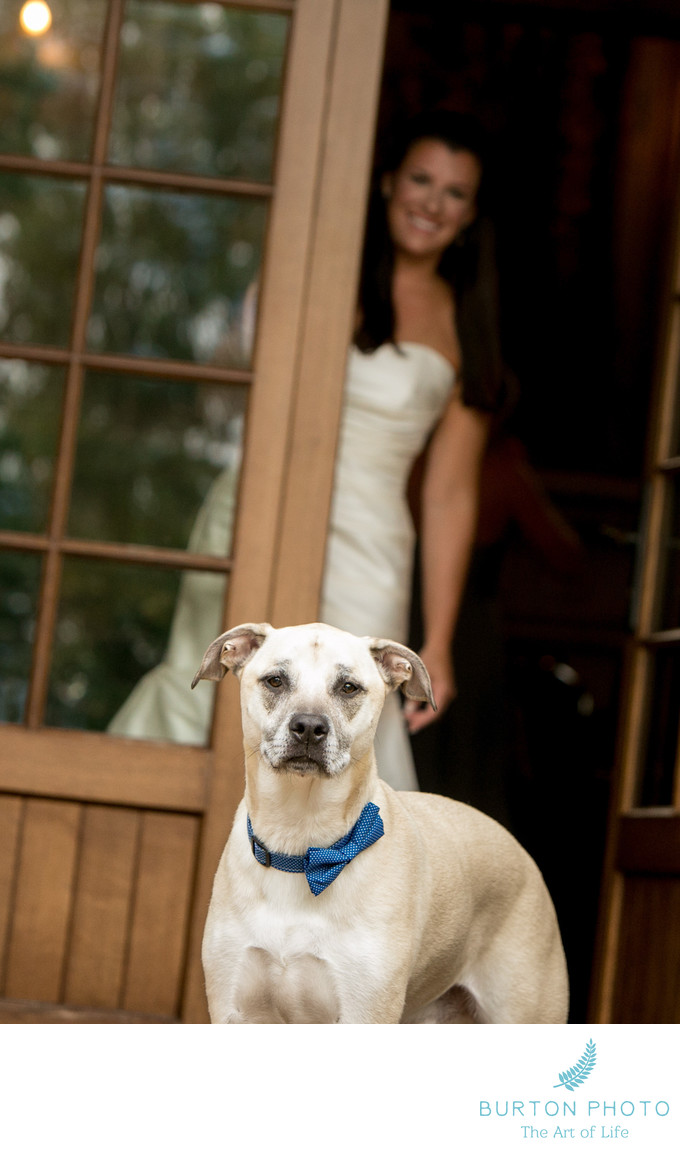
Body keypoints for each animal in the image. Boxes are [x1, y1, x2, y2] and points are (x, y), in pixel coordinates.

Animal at [194, 620, 572, 1024]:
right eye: (276, 681)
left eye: (348, 687)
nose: (309, 726)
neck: (303, 849)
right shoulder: (233, 1009)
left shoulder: (366, 1011)